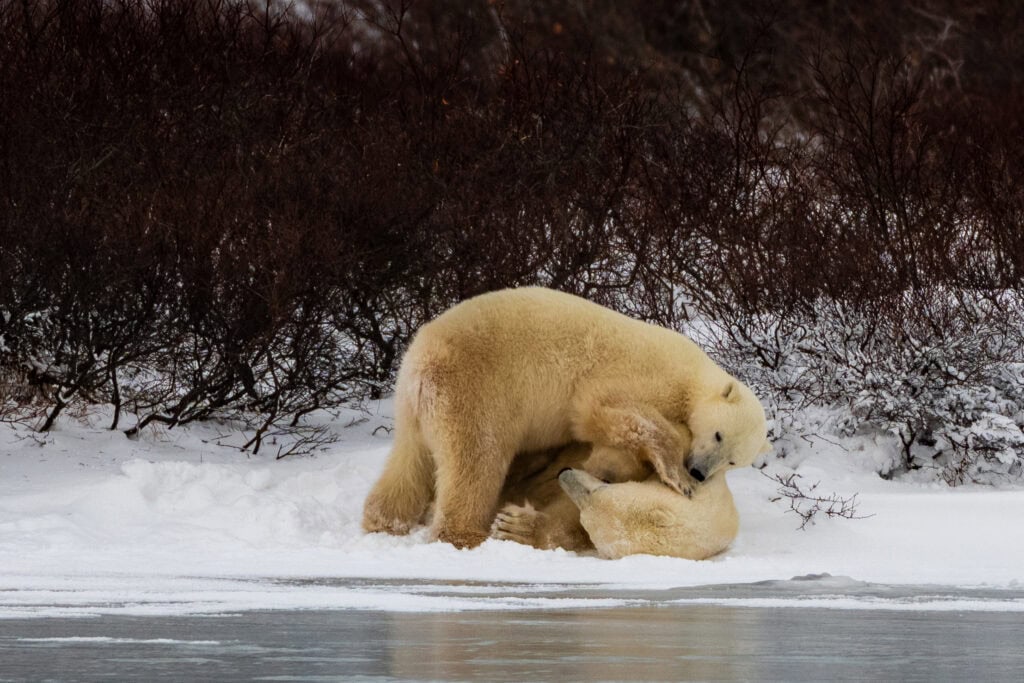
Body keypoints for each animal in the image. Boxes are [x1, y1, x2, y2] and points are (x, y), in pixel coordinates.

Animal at [362, 286, 768, 548]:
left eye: (733, 461)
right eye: (718, 435)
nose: (698, 472)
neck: (689, 375)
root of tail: (423, 363)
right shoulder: (638, 377)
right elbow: (602, 412)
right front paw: (676, 476)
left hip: (413, 405)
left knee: (410, 461)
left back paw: (384, 521)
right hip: (477, 390)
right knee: (477, 458)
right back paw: (466, 535)